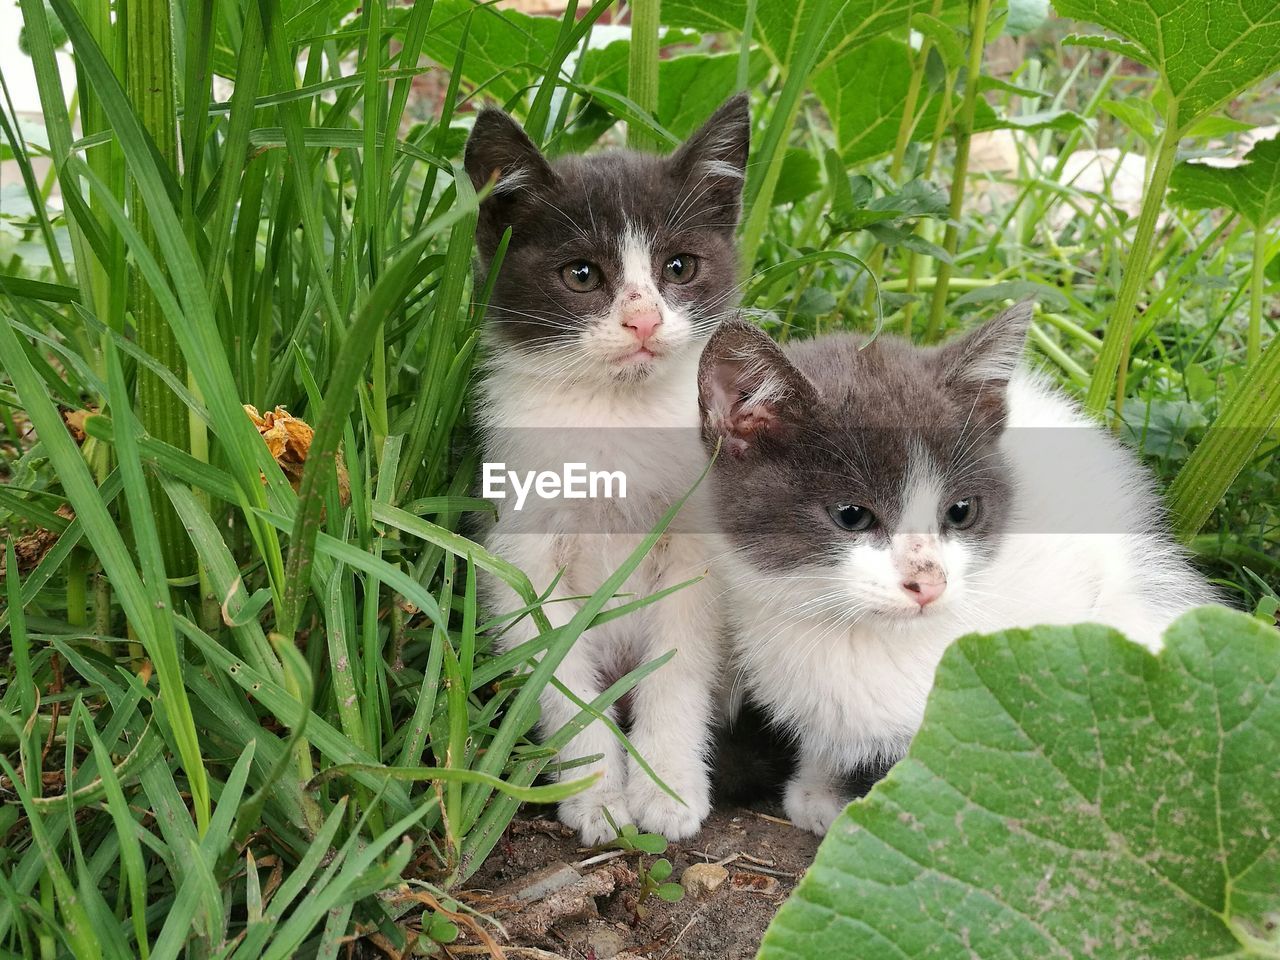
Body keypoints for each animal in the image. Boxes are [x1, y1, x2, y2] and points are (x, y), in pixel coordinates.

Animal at [463, 97, 747, 844]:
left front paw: (668, 789)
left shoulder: (698, 544)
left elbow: (678, 662)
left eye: (679, 266)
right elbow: (557, 673)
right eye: (582, 275)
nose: (644, 321)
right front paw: (596, 795)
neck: (617, 412)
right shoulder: (521, 542)